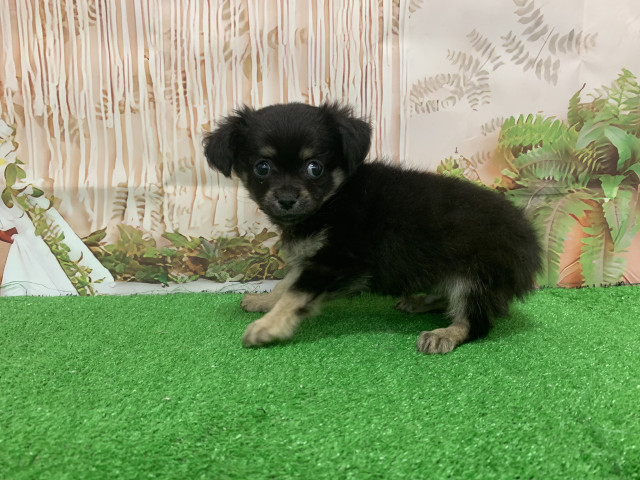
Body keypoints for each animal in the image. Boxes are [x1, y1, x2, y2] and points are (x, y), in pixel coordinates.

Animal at [202, 102, 541, 354]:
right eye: (262, 167)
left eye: (315, 168)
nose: (286, 199)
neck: (332, 202)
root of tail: (530, 242)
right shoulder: (314, 258)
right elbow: (285, 285)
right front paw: (263, 302)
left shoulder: (337, 261)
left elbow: (296, 292)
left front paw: (267, 327)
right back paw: (419, 301)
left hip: (476, 277)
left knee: (475, 322)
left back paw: (444, 333)